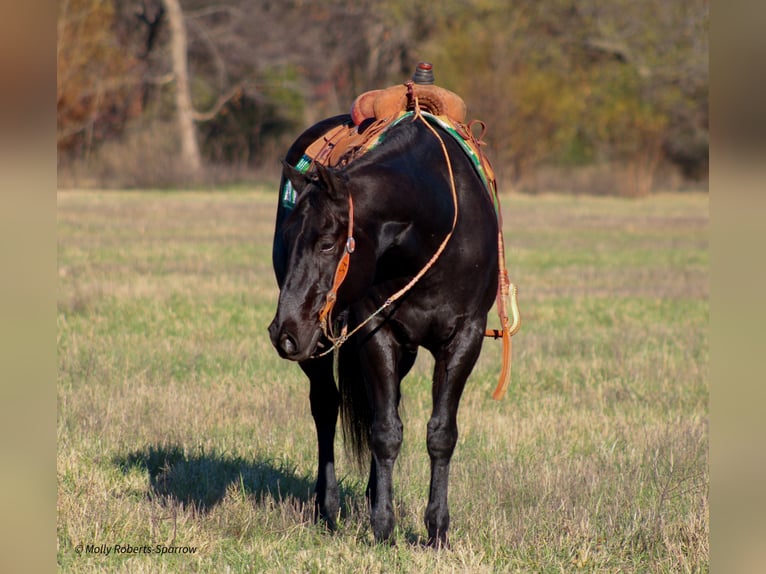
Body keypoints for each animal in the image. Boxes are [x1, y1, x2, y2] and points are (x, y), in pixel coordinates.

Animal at [268, 112, 498, 548]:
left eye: (327, 243)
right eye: (287, 237)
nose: (283, 333)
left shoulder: (465, 338)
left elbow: (440, 433)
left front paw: (437, 530)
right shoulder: (375, 332)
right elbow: (386, 431)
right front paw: (383, 527)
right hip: (321, 345)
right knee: (326, 406)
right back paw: (328, 508)